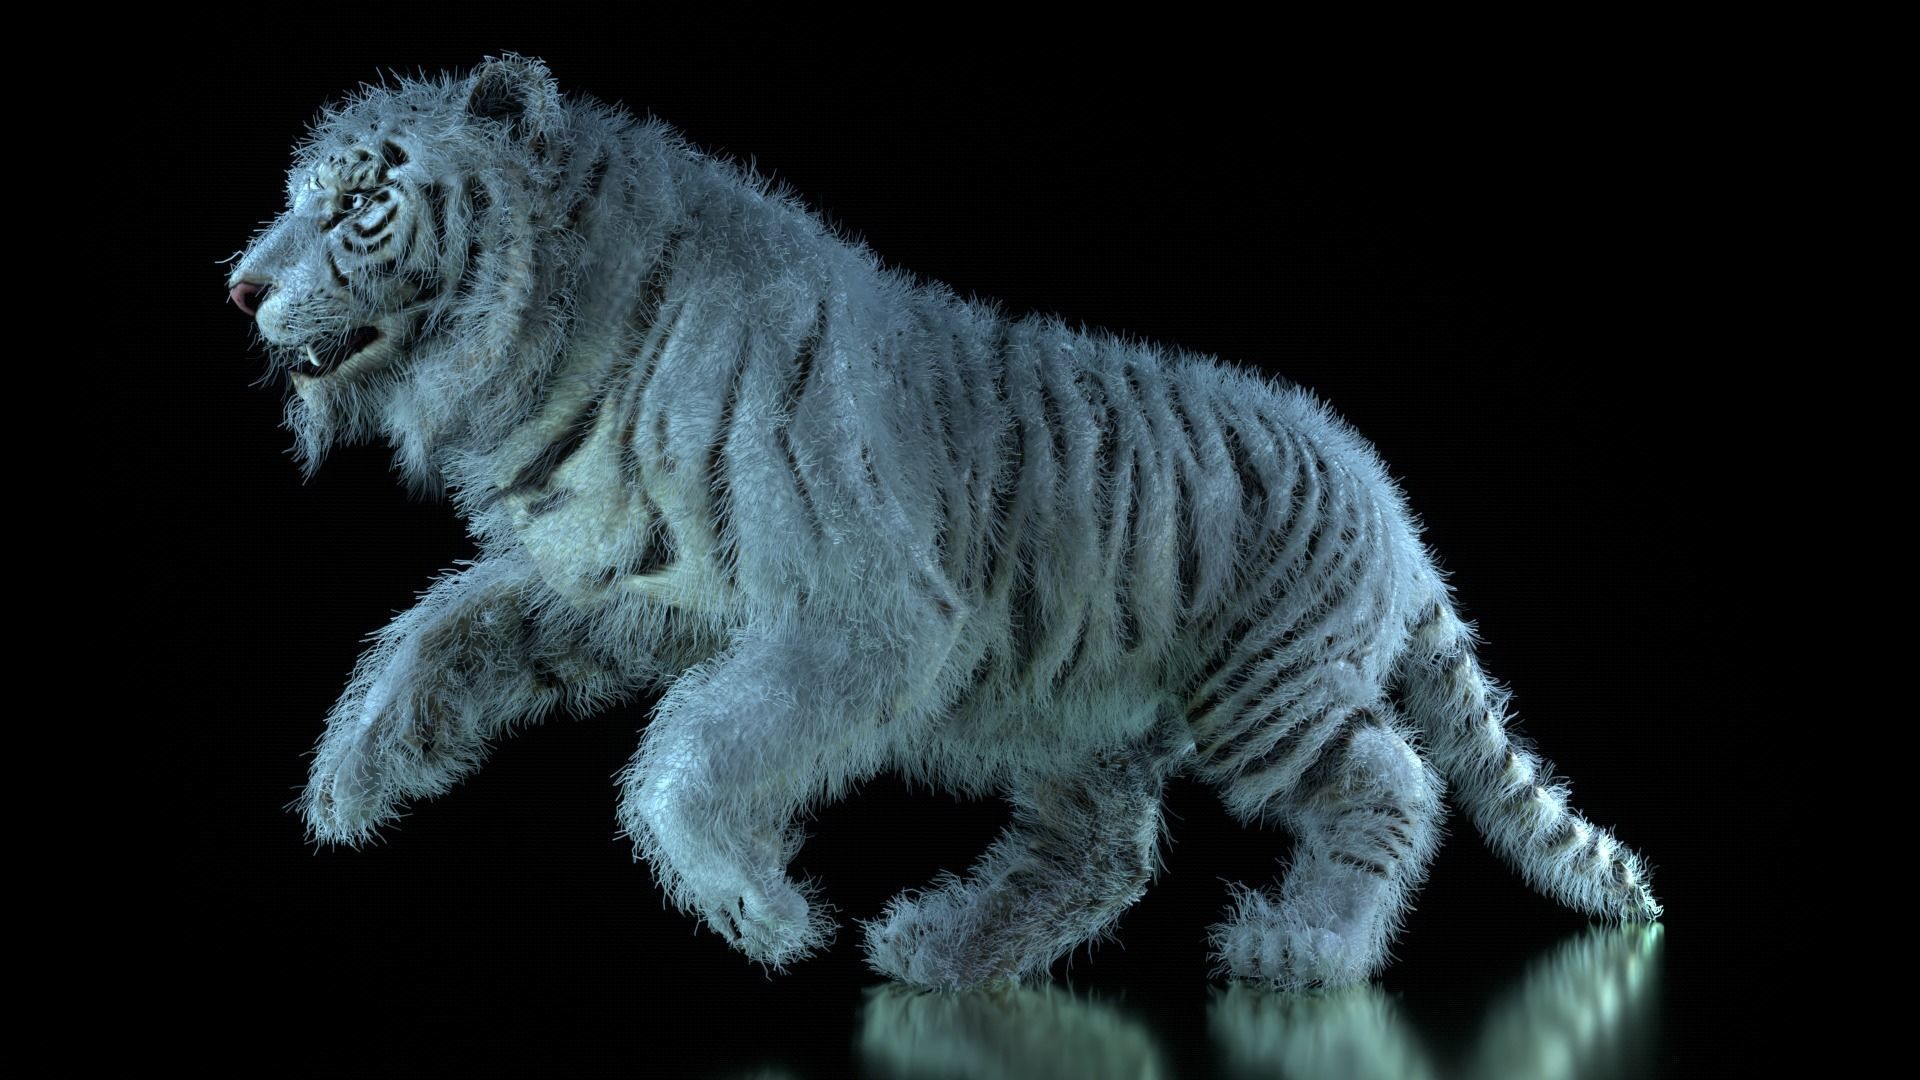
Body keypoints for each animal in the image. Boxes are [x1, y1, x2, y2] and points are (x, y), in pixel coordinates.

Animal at [226, 54, 1661, 992]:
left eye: (356, 204)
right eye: (296, 195)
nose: (238, 283)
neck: (571, 348)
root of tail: (1393, 500)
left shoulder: (867, 617)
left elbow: (691, 750)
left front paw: (757, 914)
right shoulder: (627, 584)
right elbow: (444, 629)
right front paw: (350, 780)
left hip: (1272, 690)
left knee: (1390, 782)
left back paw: (1302, 949)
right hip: (1084, 719)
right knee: (1105, 852)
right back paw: (947, 949)